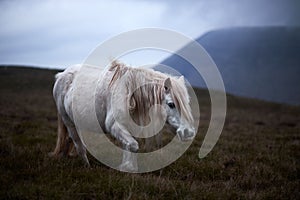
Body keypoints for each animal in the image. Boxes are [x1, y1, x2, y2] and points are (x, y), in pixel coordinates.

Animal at [50, 61, 196, 170]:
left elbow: (129, 147)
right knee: (78, 143)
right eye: (171, 104)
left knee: (69, 140)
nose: (188, 132)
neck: (131, 95)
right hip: (68, 121)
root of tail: (61, 75)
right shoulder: (114, 126)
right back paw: (87, 165)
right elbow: (133, 146)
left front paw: (128, 167)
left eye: (187, 102)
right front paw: (127, 168)